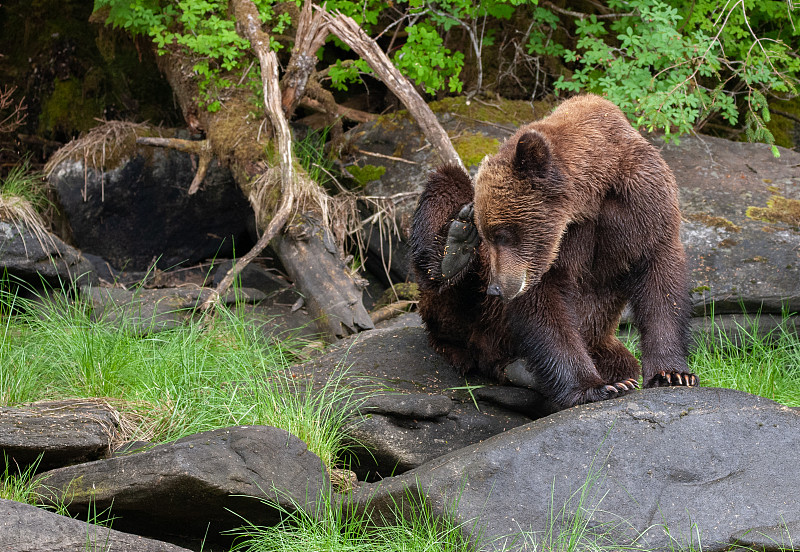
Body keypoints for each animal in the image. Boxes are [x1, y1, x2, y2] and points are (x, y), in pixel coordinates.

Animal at [410, 94, 696, 406]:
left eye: (502, 234)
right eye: (488, 236)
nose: (495, 289)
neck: (592, 196)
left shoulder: (642, 204)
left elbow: (659, 277)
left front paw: (672, 374)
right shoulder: (554, 250)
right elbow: (546, 303)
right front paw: (595, 387)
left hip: (599, 341)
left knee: (623, 361)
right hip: (472, 312)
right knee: (448, 183)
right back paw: (453, 251)